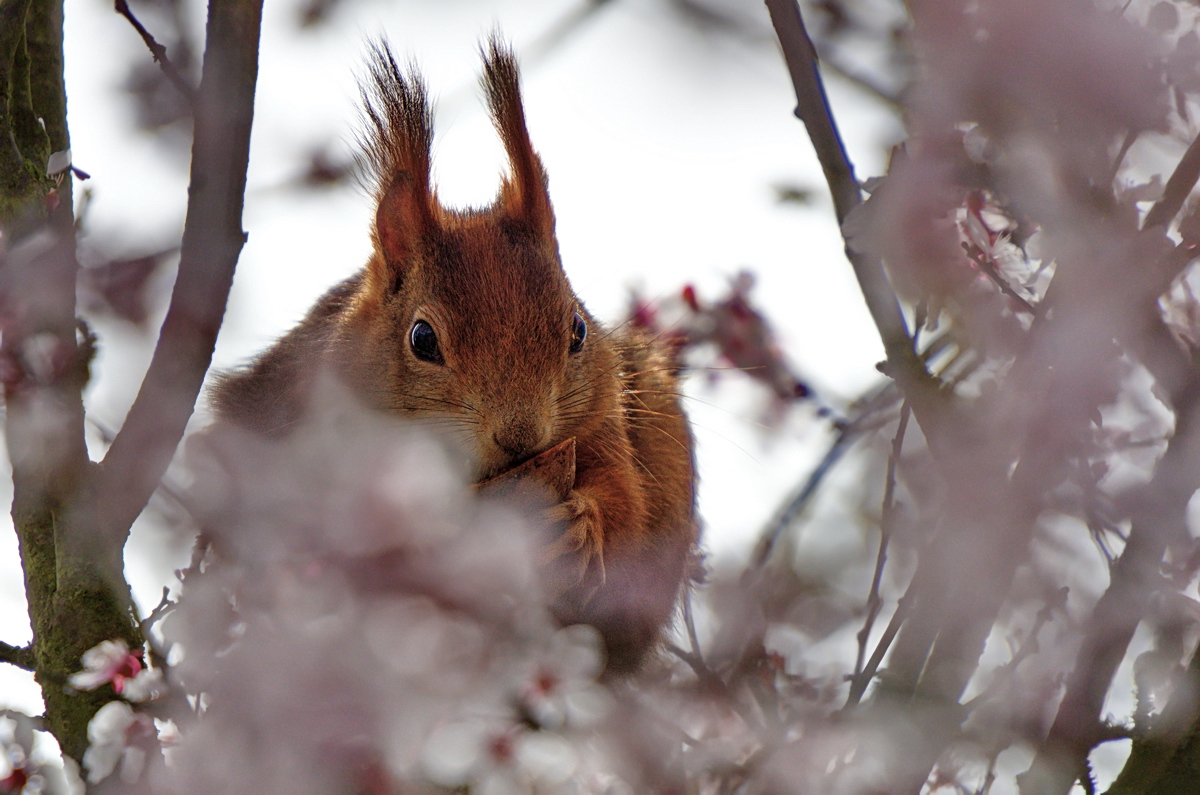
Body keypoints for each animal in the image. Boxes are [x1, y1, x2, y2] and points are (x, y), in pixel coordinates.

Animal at [210, 39, 700, 672]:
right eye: (422, 339)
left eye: (577, 330)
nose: (521, 438)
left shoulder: (602, 423)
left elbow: (624, 500)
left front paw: (585, 523)